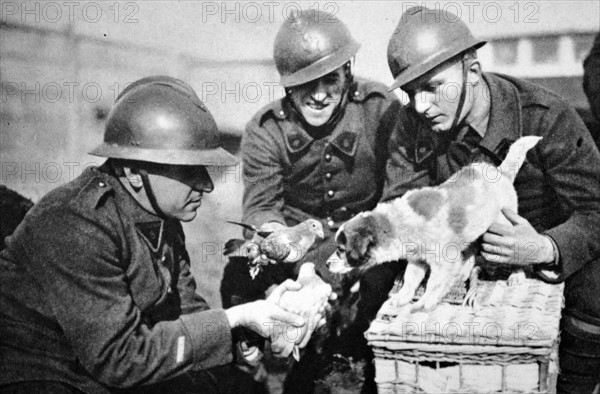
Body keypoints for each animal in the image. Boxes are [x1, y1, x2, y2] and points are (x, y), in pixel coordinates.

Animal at [328, 135, 544, 310]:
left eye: (341, 250)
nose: (326, 264)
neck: (395, 223)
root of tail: (501, 172)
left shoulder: (443, 261)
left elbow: (434, 283)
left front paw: (425, 302)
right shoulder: (417, 259)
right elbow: (410, 280)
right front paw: (401, 298)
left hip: (505, 226)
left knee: (515, 255)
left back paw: (516, 275)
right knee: (471, 250)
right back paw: (463, 272)